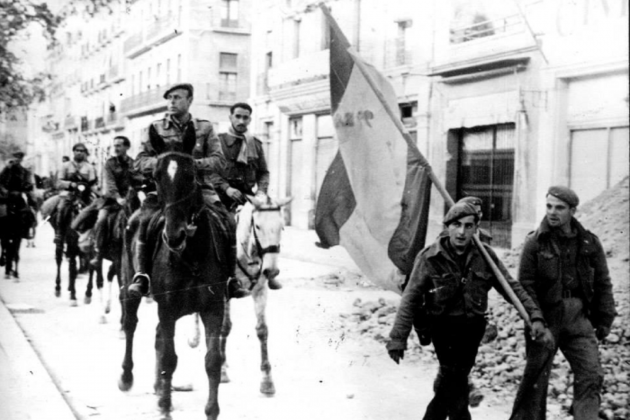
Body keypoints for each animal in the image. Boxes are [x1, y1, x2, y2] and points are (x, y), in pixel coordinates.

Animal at [118, 127, 230, 420]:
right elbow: (169, 357)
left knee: (157, 337)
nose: (174, 235)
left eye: (191, 175)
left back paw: (159, 389)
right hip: (129, 287)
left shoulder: (213, 308)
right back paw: (127, 377)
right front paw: (166, 409)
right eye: (156, 176)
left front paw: (211, 411)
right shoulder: (167, 309)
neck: (191, 254)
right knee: (131, 325)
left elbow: (212, 360)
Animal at [186, 195, 292, 396]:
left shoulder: (260, 290)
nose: (271, 271)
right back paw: (194, 338)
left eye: (282, 226)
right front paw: (222, 370)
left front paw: (267, 381)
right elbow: (224, 327)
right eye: (257, 226)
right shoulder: (223, 292)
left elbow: (262, 330)